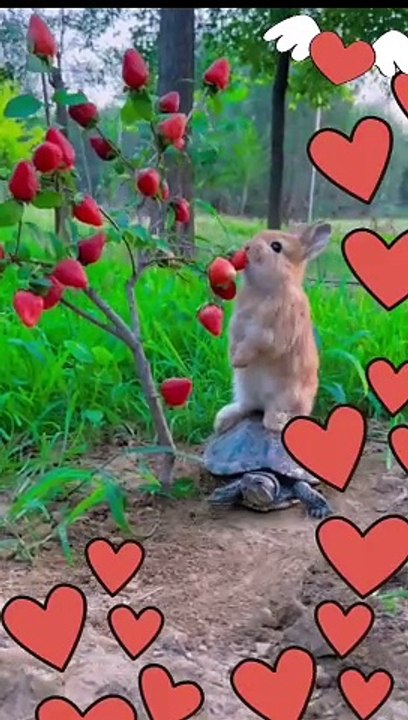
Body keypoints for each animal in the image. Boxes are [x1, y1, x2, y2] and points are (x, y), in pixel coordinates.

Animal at [214, 222, 332, 436]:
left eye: (276, 247)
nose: (247, 248)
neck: (264, 290)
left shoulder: (272, 332)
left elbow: (258, 343)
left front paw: (238, 360)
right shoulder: (237, 324)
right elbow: (235, 338)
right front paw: (233, 358)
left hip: (287, 395)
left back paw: (277, 422)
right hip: (244, 389)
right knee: (247, 406)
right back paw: (223, 420)